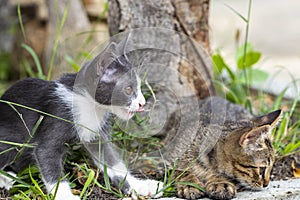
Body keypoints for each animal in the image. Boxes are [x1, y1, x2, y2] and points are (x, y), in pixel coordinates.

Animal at [0, 38, 162, 199]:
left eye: (138, 88)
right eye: (128, 90)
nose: (142, 103)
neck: (90, 105)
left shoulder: (97, 134)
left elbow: (112, 161)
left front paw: (140, 185)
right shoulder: (56, 119)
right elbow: (48, 159)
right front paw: (64, 195)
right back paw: (5, 178)